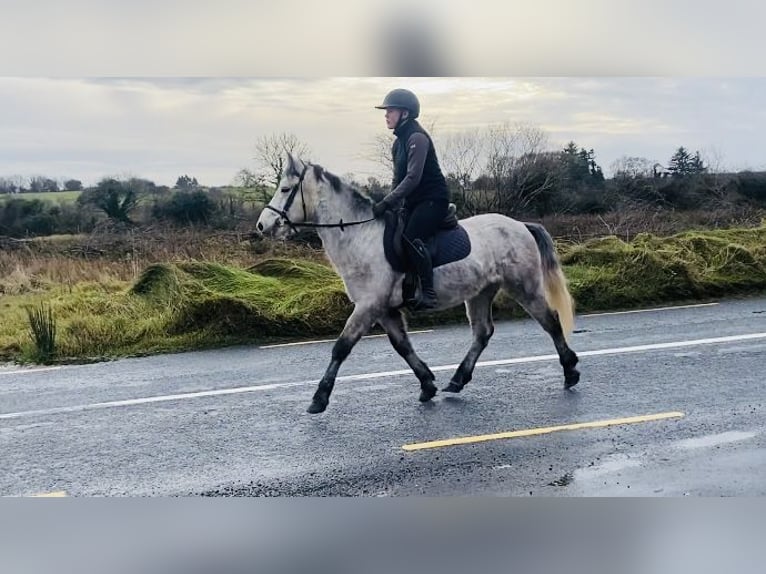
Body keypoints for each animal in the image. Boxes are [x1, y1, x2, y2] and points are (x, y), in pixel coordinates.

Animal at [255, 153, 580, 414]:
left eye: (285, 189)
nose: (262, 226)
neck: (360, 237)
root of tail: (520, 225)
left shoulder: (368, 306)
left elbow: (341, 348)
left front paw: (319, 399)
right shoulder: (384, 310)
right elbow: (402, 347)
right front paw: (427, 384)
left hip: (524, 286)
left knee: (550, 321)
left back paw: (570, 371)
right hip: (480, 292)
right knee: (482, 333)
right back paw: (457, 380)